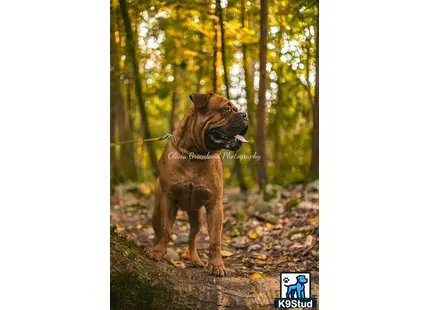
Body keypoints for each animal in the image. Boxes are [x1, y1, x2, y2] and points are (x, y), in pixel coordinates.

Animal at [146, 91, 249, 276]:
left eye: (237, 109)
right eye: (227, 109)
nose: (244, 115)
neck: (195, 154)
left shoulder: (215, 205)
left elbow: (215, 240)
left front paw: (216, 265)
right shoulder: (168, 198)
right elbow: (166, 230)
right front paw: (157, 251)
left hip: (197, 217)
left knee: (191, 239)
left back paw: (195, 259)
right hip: (158, 210)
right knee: (159, 231)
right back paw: (159, 248)